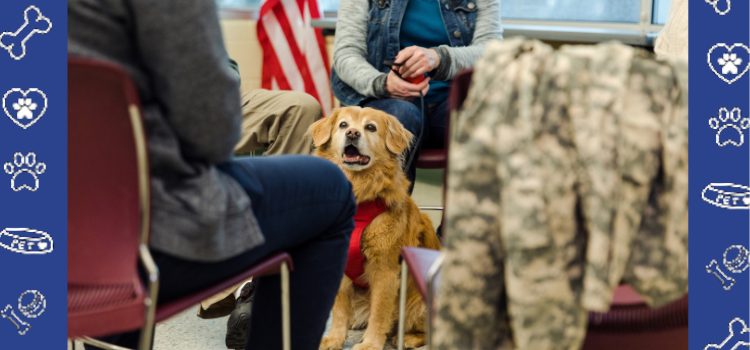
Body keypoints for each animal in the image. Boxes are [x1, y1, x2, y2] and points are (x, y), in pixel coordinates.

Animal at [310, 107, 440, 350]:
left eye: (370, 127)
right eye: (343, 125)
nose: (352, 133)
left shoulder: (385, 271)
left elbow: (379, 314)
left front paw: (370, 344)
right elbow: (339, 310)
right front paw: (334, 338)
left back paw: (408, 338)